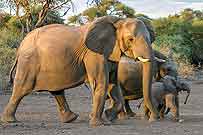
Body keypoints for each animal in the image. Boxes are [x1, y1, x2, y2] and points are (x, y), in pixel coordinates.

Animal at [0, 15, 157, 126]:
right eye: (131, 39)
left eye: (150, 39)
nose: (153, 120)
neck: (118, 21)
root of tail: (21, 46)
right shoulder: (93, 54)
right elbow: (101, 82)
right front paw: (99, 123)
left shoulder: (111, 52)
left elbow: (113, 84)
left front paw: (108, 116)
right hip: (29, 61)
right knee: (22, 88)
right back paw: (10, 121)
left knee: (56, 90)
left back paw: (71, 118)